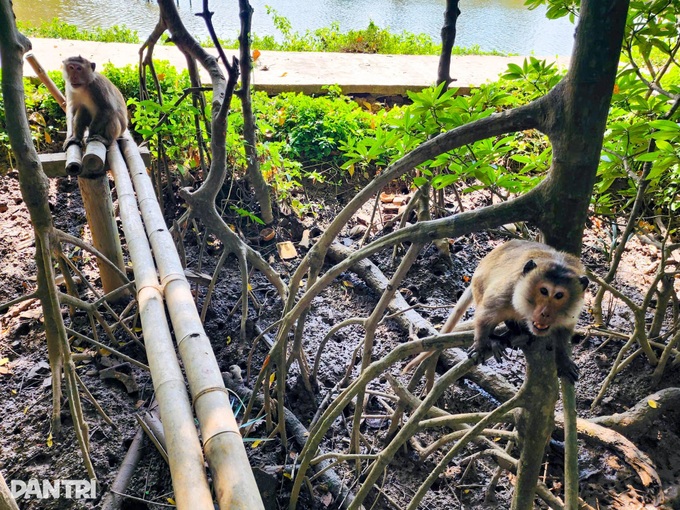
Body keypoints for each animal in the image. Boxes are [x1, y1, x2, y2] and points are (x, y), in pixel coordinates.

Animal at [405, 239, 589, 383]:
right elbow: (487, 312)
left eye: (559, 295)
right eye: (544, 291)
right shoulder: (510, 288)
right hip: (479, 285)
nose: (545, 313)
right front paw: (481, 343)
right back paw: (498, 337)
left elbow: (565, 329)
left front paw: (563, 358)